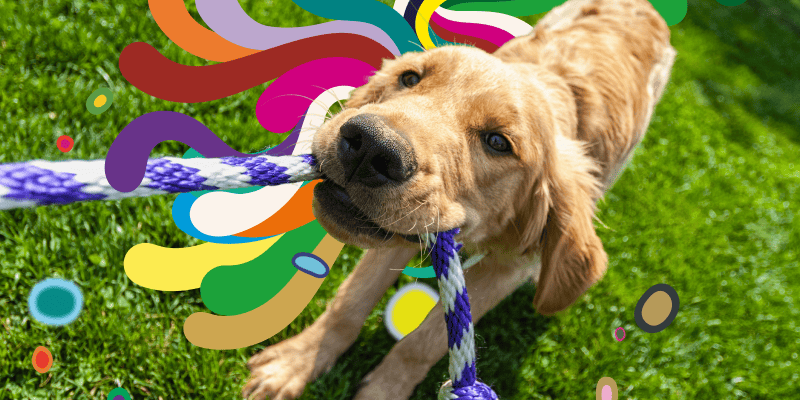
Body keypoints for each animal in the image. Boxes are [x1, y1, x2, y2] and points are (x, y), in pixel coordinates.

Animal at [242, 1, 676, 398]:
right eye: (409, 78)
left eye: (498, 142)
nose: (370, 147)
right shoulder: (405, 228)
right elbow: (350, 301)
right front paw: (297, 362)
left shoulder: (503, 267)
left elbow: (425, 340)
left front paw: (384, 391)